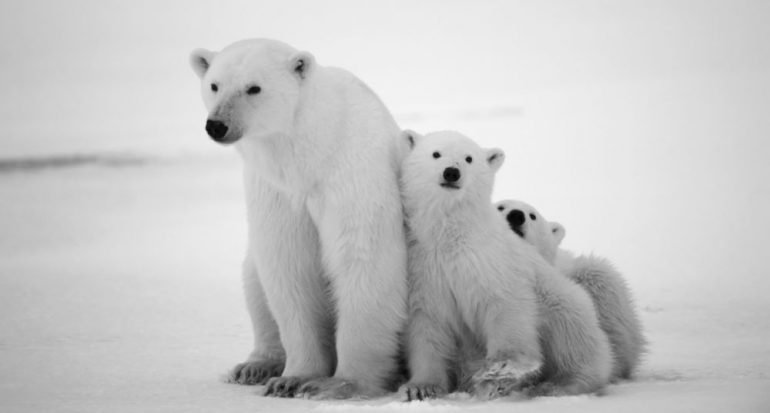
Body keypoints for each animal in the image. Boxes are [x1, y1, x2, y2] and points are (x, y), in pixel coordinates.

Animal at [189, 40, 408, 398]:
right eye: (214, 85)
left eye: (254, 87)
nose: (217, 125)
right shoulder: (276, 190)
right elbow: (289, 266)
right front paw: (292, 379)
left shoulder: (352, 174)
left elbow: (363, 259)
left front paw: (339, 384)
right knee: (254, 281)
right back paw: (255, 366)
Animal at [400, 130, 608, 400]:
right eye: (436, 154)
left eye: (469, 158)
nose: (451, 172)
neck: (452, 235)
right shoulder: (425, 268)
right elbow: (428, 326)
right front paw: (420, 388)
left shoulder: (491, 260)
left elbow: (506, 305)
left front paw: (501, 367)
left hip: (562, 301)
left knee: (572, 337)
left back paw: (559, 384)